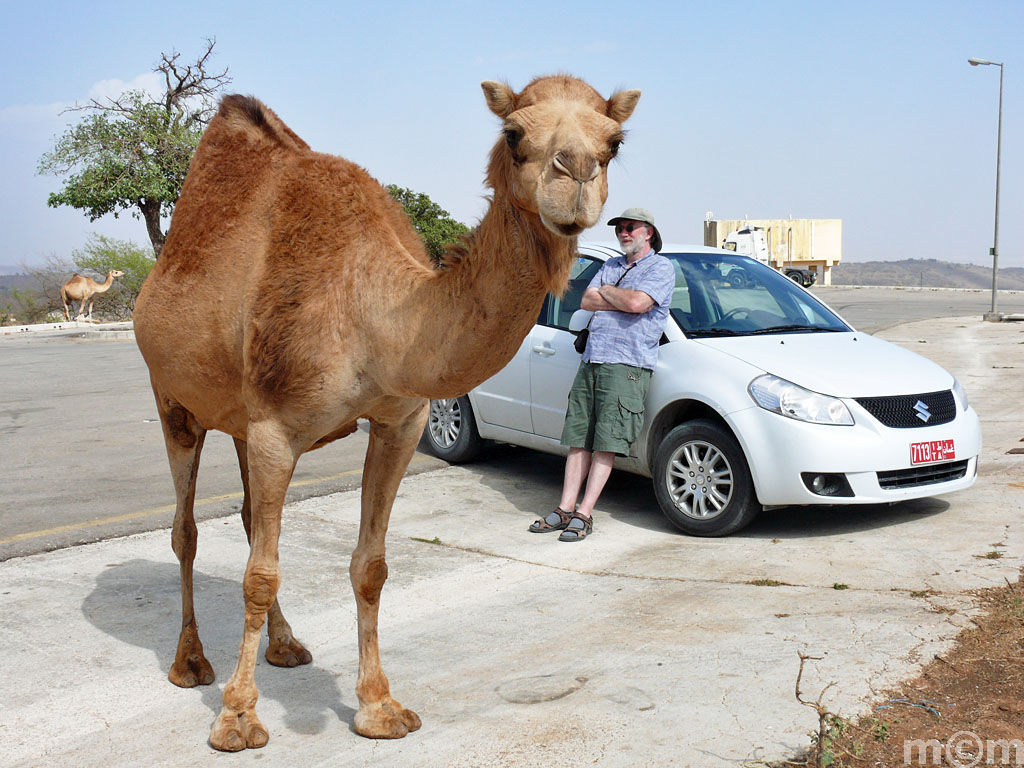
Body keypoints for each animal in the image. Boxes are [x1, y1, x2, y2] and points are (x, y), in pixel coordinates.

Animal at [132, 76, 634, 753]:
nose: (576, 174)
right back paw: (190, 663)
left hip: (238, 416)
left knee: (246, 518)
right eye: (514, 133)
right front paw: (236, 718)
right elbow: (260, 574)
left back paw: (286, 646)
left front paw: (379, 706)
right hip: (172, 395)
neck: (376, 312)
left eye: (614, 141)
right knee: (186, 530)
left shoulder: (400, 420)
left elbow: (369, 566)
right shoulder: (276, 429)